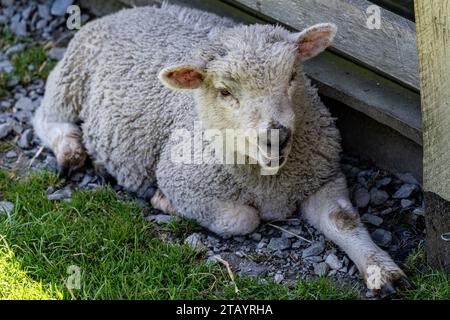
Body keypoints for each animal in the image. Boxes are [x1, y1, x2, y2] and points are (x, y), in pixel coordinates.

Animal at [33, 3, 408, 296]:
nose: (276, 136)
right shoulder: (184, 180)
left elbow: (342, 221)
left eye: (292, 76)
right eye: (225, 92)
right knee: (44, 118)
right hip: (69, 80)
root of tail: (132, 11)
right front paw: (163, 201)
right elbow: (241, 219)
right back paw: (72, 152)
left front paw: (381, 270)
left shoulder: (322, 176)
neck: (270, 180)